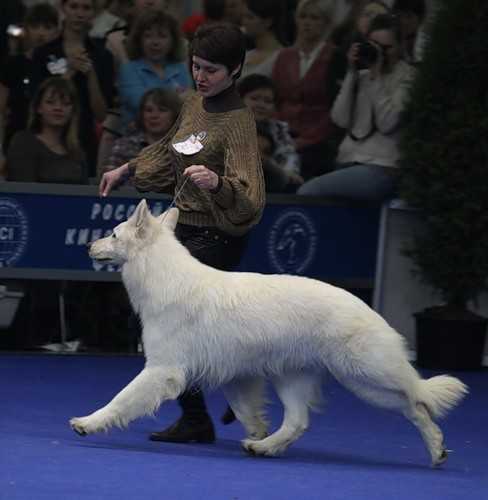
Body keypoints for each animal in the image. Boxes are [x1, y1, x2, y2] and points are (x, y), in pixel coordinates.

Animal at [70, 199, 468, 464]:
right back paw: (264, 447)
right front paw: (257, 433)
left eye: (113, 234)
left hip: (367, 378)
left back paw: (436, 447)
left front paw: (89, 423)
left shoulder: (160, 371)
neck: (164, 274)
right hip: (295, 379)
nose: (89, 245)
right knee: (298, 421)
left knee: (416, 402)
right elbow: (246, 411)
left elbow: (121, 399)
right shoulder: (235, 375)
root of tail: (367, 308)